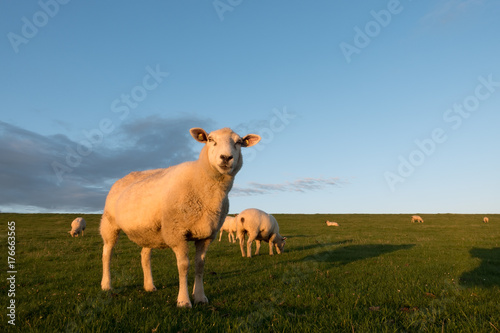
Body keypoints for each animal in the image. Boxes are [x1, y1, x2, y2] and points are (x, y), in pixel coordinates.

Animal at [98, 126, 262, 306]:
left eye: (239, 142)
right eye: (210, 139)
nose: (226, 157)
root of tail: (123, 178)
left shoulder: (206, 235)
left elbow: (200, 265)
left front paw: (200, 296)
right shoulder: (177, 232)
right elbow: (183, 266)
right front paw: (184, 301)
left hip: (149, 230)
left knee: (145, 256)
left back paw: (149, 285)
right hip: (110, 223)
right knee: (107, 253)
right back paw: (106, 284)